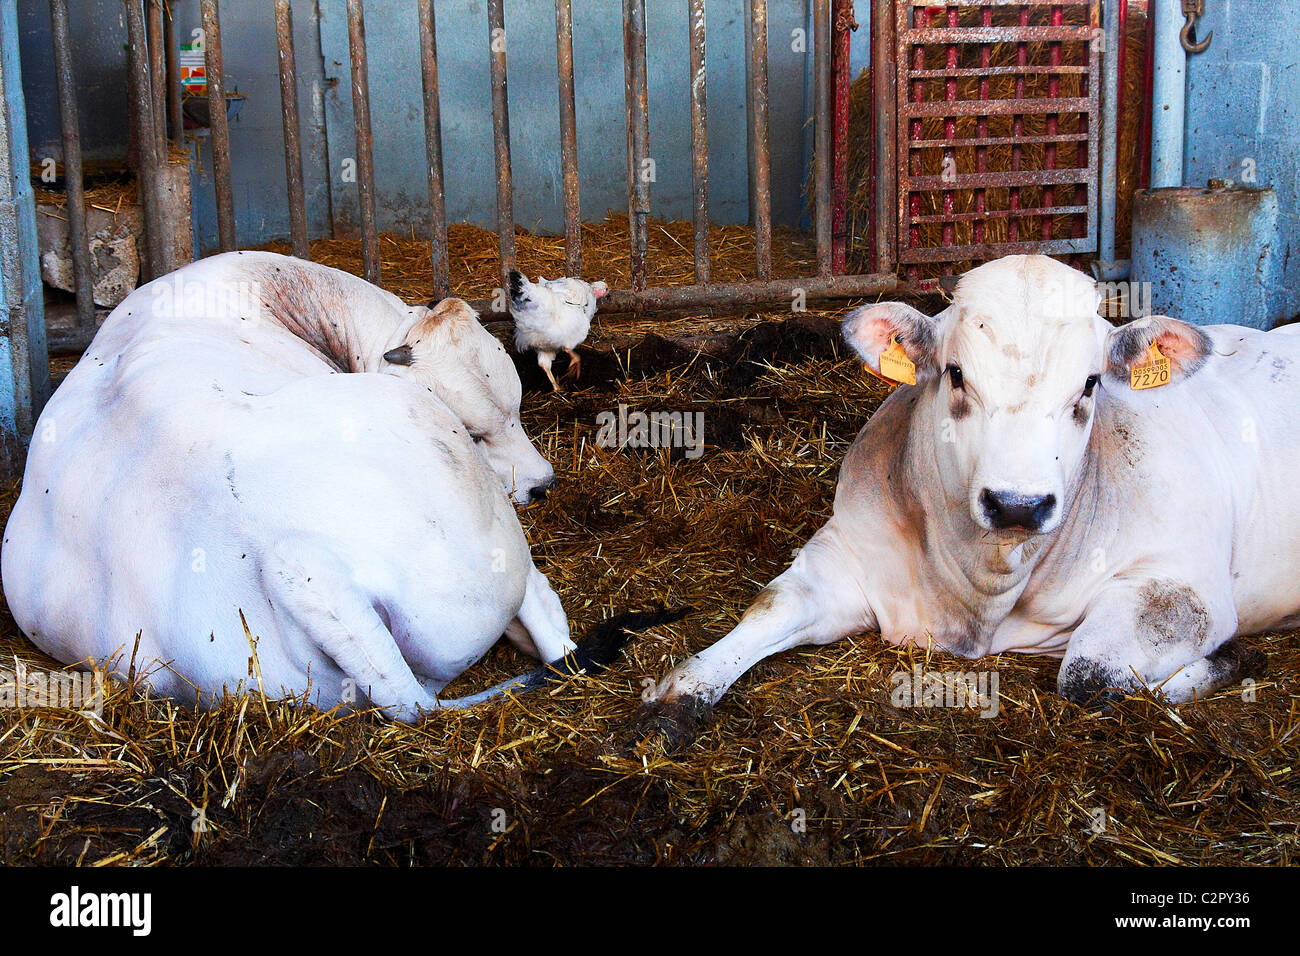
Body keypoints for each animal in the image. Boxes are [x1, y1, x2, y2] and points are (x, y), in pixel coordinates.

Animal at [2, 251, 660, 723]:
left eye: (518, 408)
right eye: (475, 433)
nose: (544, 486)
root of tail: (298, 560)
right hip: (492, 536)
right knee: (547, 624)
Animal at [642, 257, 1300, 743]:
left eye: (1090, 384)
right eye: (956, 374)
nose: (1017, 505)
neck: (977, 592)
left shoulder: (1186, 588)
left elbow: (1091, 679)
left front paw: (1228, 662)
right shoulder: (847, 550)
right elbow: (771, 605)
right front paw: (676, 695)